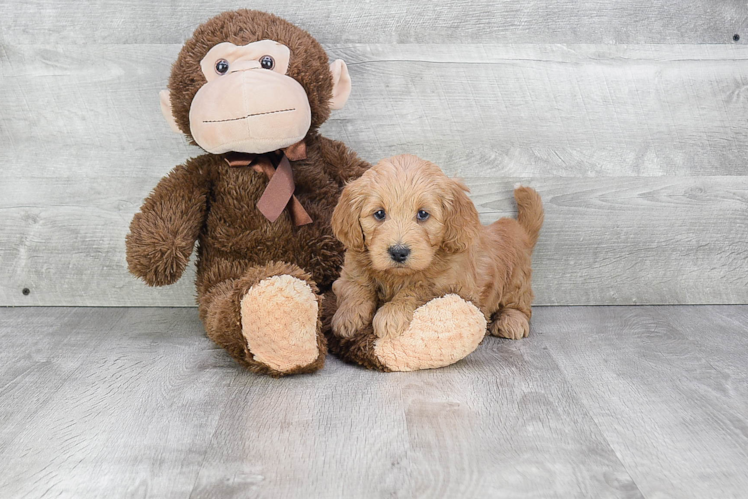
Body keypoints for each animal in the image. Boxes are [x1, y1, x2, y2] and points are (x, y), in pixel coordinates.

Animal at [330, 155, 540, 340]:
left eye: (423, 214)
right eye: (379, 214)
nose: (398, 252)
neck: (397, 276)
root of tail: (520, 231)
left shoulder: (452, 288)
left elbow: (417, 290)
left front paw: (391, 314)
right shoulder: (349, 272)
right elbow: (355, 288)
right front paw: (347, 316)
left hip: (516, 280)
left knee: (520, 305)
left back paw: (511, 321)